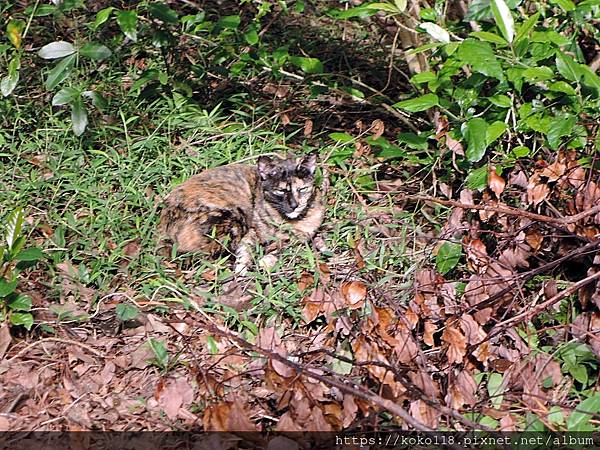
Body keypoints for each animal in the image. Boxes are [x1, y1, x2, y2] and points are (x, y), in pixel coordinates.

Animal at [158, 152, 324, 274]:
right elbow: (246, 249)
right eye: (281, 190)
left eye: (302, 189)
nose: (294, 205)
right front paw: (243, 267)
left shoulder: (303, 236)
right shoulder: (251, 231)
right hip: (235, 218)